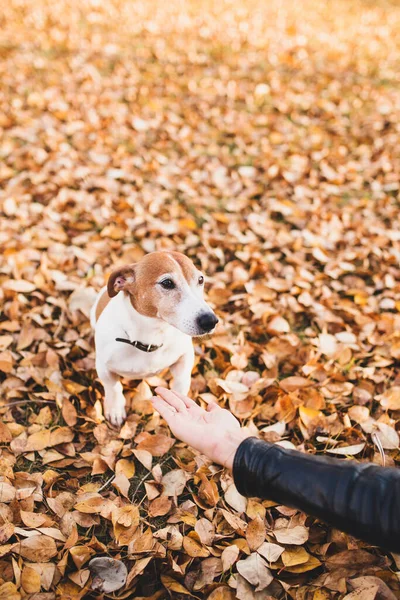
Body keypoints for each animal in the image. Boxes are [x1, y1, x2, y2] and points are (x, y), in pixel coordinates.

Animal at [90, 251, 219, 424]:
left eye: (200, 279)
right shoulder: (104, 368)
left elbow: (182, 381)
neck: (152, 336)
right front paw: (115, 410)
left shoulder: (185, 357)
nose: (210, 321)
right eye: (167, 283)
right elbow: (114, 388)